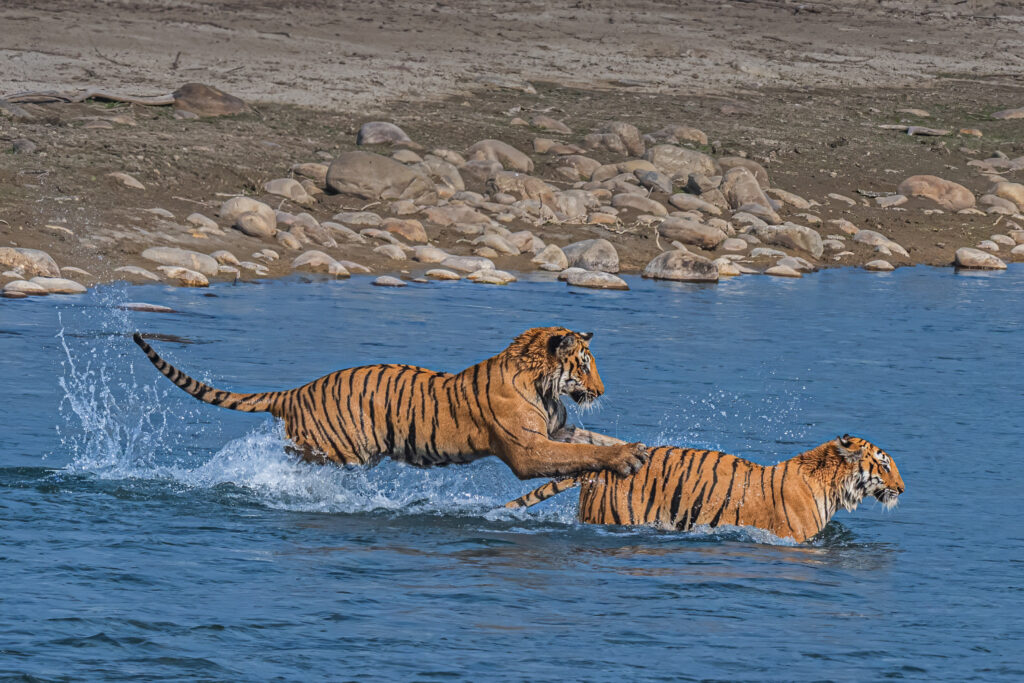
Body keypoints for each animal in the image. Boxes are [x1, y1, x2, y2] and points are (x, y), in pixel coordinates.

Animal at [132, 327, 649, 479]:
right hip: (335, 451)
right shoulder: (530, 450)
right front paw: (625, 457)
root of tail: (296, 390)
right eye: (586, 365)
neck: (545, 388)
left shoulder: (558, 430)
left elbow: (594, 439)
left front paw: (638, 448)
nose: (602, 391)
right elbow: (582, 453)